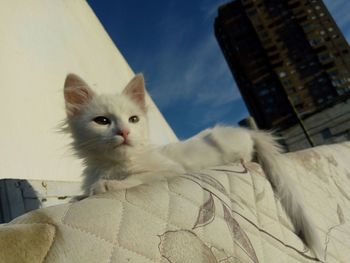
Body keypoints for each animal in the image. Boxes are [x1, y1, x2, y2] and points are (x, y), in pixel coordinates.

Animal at [63, 73, 322, 260]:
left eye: (133, 119)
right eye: (102, 121)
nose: (125, 132)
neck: (113, 164)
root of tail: (247, 132)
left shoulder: (170, 169)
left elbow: (138, 178)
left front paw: (105, 186)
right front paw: (78, 195)